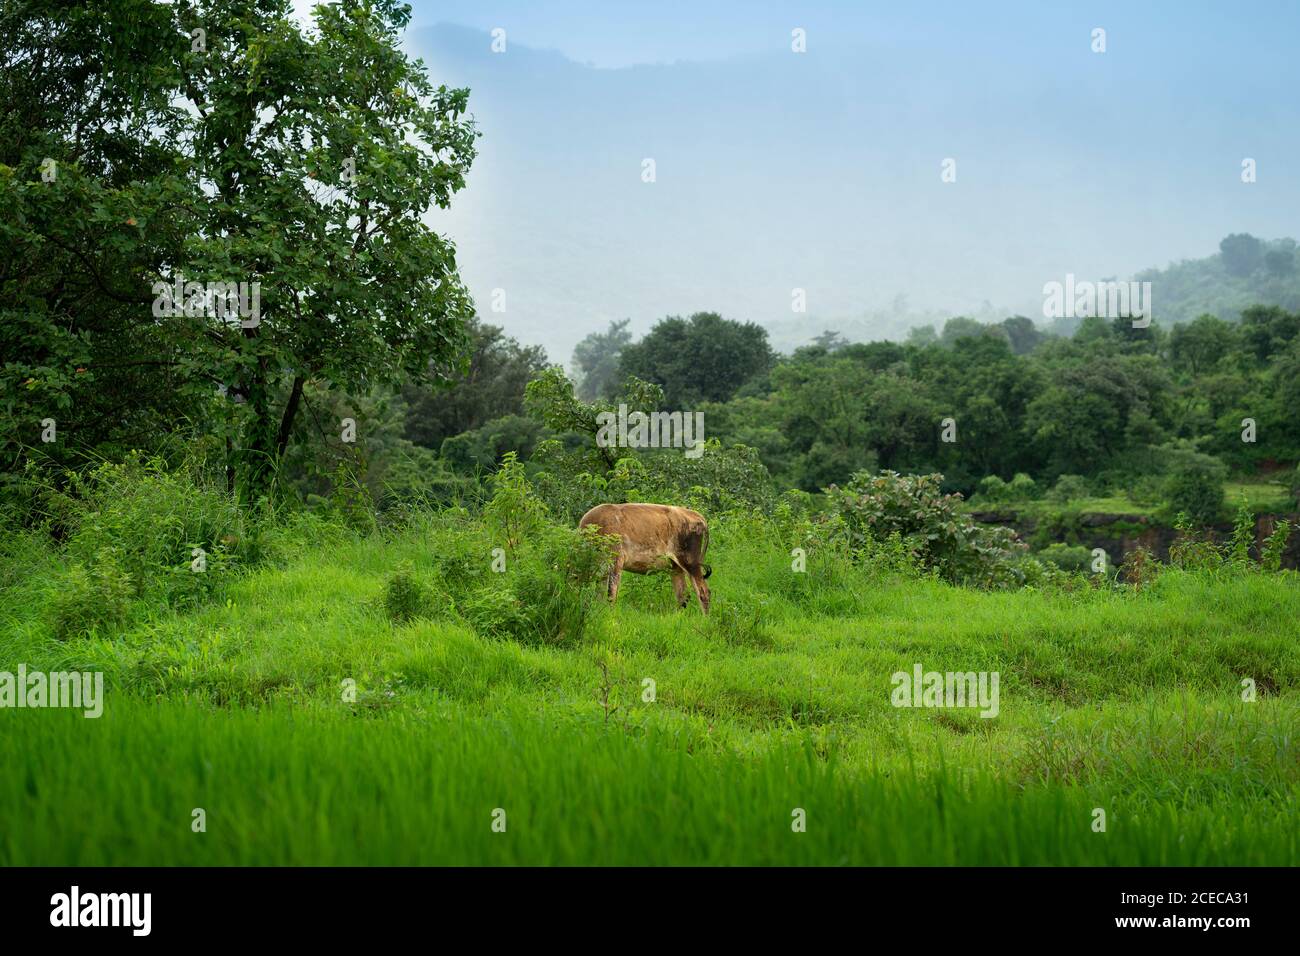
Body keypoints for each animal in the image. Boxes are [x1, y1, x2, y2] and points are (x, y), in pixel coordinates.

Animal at [578, 503, 711, 613]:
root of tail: (697, 516)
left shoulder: (616, 564)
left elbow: (611, 595)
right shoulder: (602, 572)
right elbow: (599, 597)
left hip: (690, 562)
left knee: (703, 592)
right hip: (675, 568)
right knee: (683, 596)